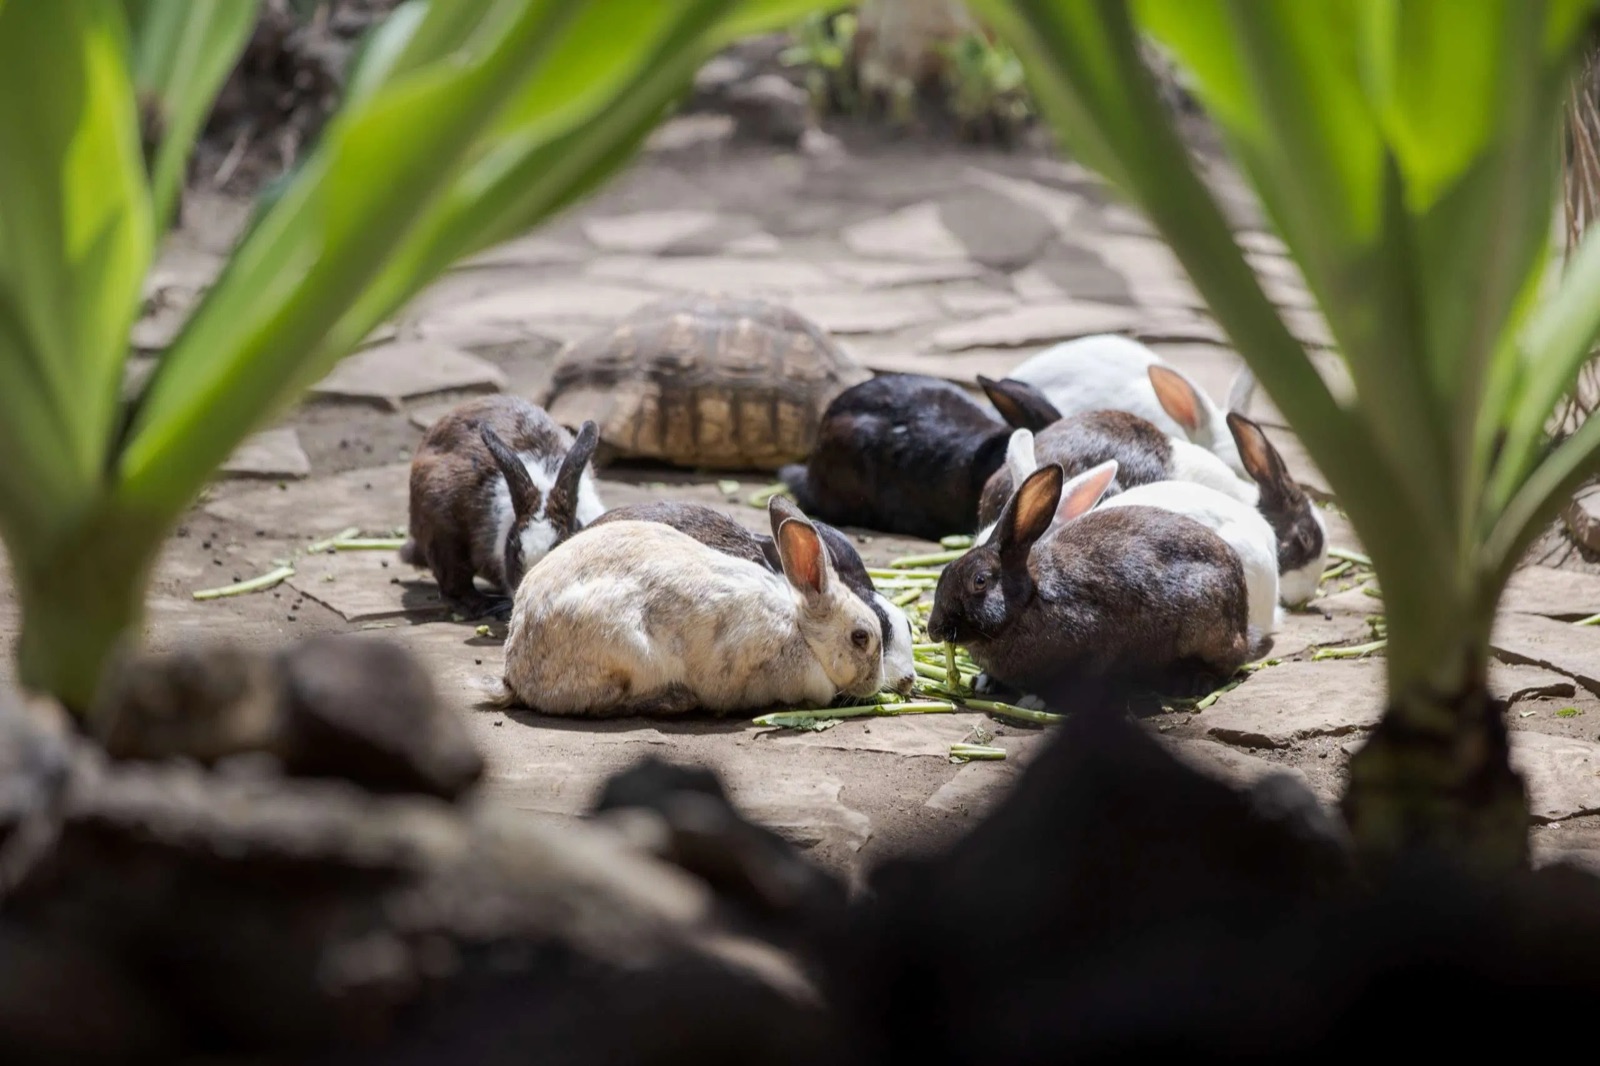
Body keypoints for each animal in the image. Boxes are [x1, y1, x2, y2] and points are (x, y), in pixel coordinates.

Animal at [928, 461, 1255, 701]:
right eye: (945, 572)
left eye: (979, 581)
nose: (933, 630)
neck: (1028, 600)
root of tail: (1243, 614)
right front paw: (983, 682)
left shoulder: (1097, 645)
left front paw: (1036, 700)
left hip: (1205, 628)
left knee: (1229, 663)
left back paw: (1193, 681)